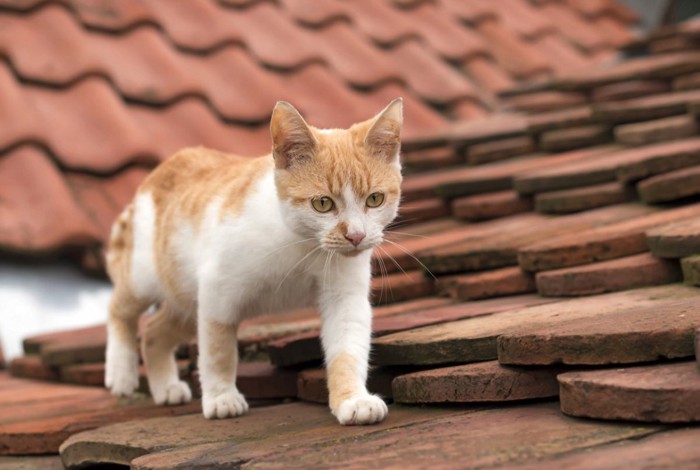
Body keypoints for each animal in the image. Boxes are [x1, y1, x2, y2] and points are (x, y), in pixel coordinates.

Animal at [101, 99, 402, 426]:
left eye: (374, 199)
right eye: (322, 204)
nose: (356, 236)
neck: (302, 246)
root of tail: (158, 172)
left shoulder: (345, 297)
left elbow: (348, 349)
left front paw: (353, 399)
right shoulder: (217, 290)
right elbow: (218, 350)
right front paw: (221, 397)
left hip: (185, 298)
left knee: (154, 332)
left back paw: (166, 387)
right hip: (146, 276)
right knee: (119, 309)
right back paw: (121, 372)